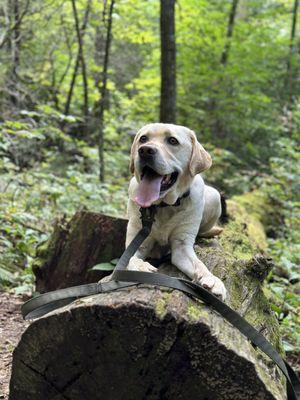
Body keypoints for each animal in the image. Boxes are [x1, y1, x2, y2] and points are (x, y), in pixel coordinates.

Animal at [125, 122, 226, 300]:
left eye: (172, 141)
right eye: (143, 139)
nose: (145, 150)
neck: (164, 205)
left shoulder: (182, 246)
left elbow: (199, 264)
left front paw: (212, 279)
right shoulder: (138, 240)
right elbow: (130, 257)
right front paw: (141, 267)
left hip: (215, 197)